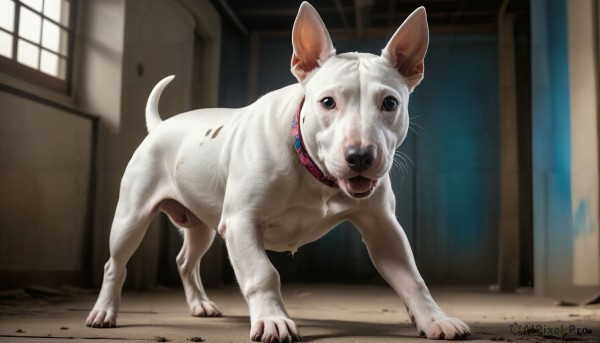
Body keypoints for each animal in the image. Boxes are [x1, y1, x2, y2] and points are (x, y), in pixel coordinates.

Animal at [86, 2, 474, 342]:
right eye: (328, 102)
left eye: (390, 103)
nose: (360, 157)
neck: (312, 170)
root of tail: (160, 126)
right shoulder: (241, 222)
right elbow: (263, 274)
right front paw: (273, 320)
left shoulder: (383, 228)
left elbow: (412, 279)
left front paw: (435, 320)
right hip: (131, 217)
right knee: (114, 264)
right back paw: (104, 312)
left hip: (200, 225)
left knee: (185, 260)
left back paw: (200, 304)